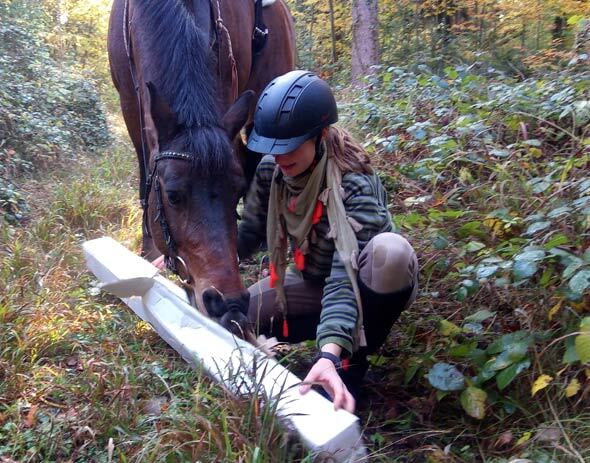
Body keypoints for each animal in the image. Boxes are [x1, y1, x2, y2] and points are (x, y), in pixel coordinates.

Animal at [107, 0, 296, 338]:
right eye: (172, 195)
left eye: (235, 192)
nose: (229, 302)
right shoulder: (129, 101)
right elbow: (144, 171)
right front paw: (149, 252)